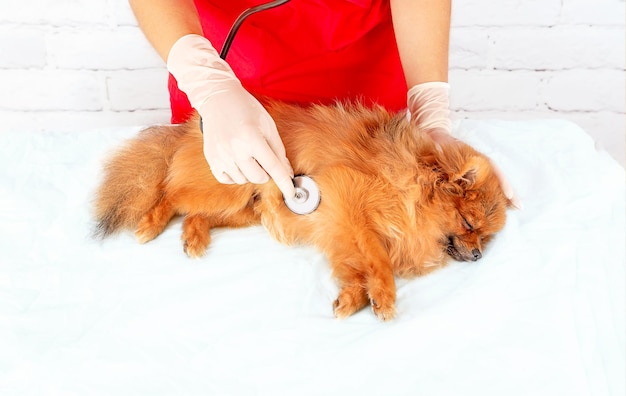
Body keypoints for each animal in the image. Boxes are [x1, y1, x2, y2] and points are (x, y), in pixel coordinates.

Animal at [94, 100, 512, 320]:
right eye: (467, 223)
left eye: (486, 237)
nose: (478, 255)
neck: (406, 188)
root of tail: (192, 130)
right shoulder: (348, 205)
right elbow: (378, 260)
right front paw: (384, 296)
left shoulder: (340, 229)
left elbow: (357, 267)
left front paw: (352, 298)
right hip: (228, 189)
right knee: (171, 195)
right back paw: (151, 223)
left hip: (246, 209)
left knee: (197, 214)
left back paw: (195, 238)